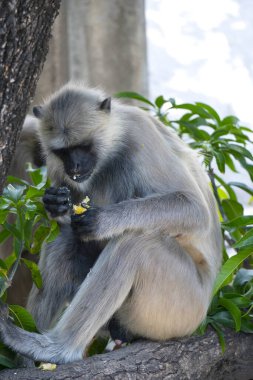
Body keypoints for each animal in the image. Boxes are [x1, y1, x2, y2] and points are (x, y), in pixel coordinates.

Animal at [0, 83, 221, 362]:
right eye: (63, 152)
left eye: (84, 146)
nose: (75, 166)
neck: (114, 144)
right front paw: (55, 204)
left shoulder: (140, 133)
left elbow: (193, 208)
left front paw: (103, 220)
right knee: (64, 238)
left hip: (182, 307)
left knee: (134, 245)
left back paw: (57, 349)